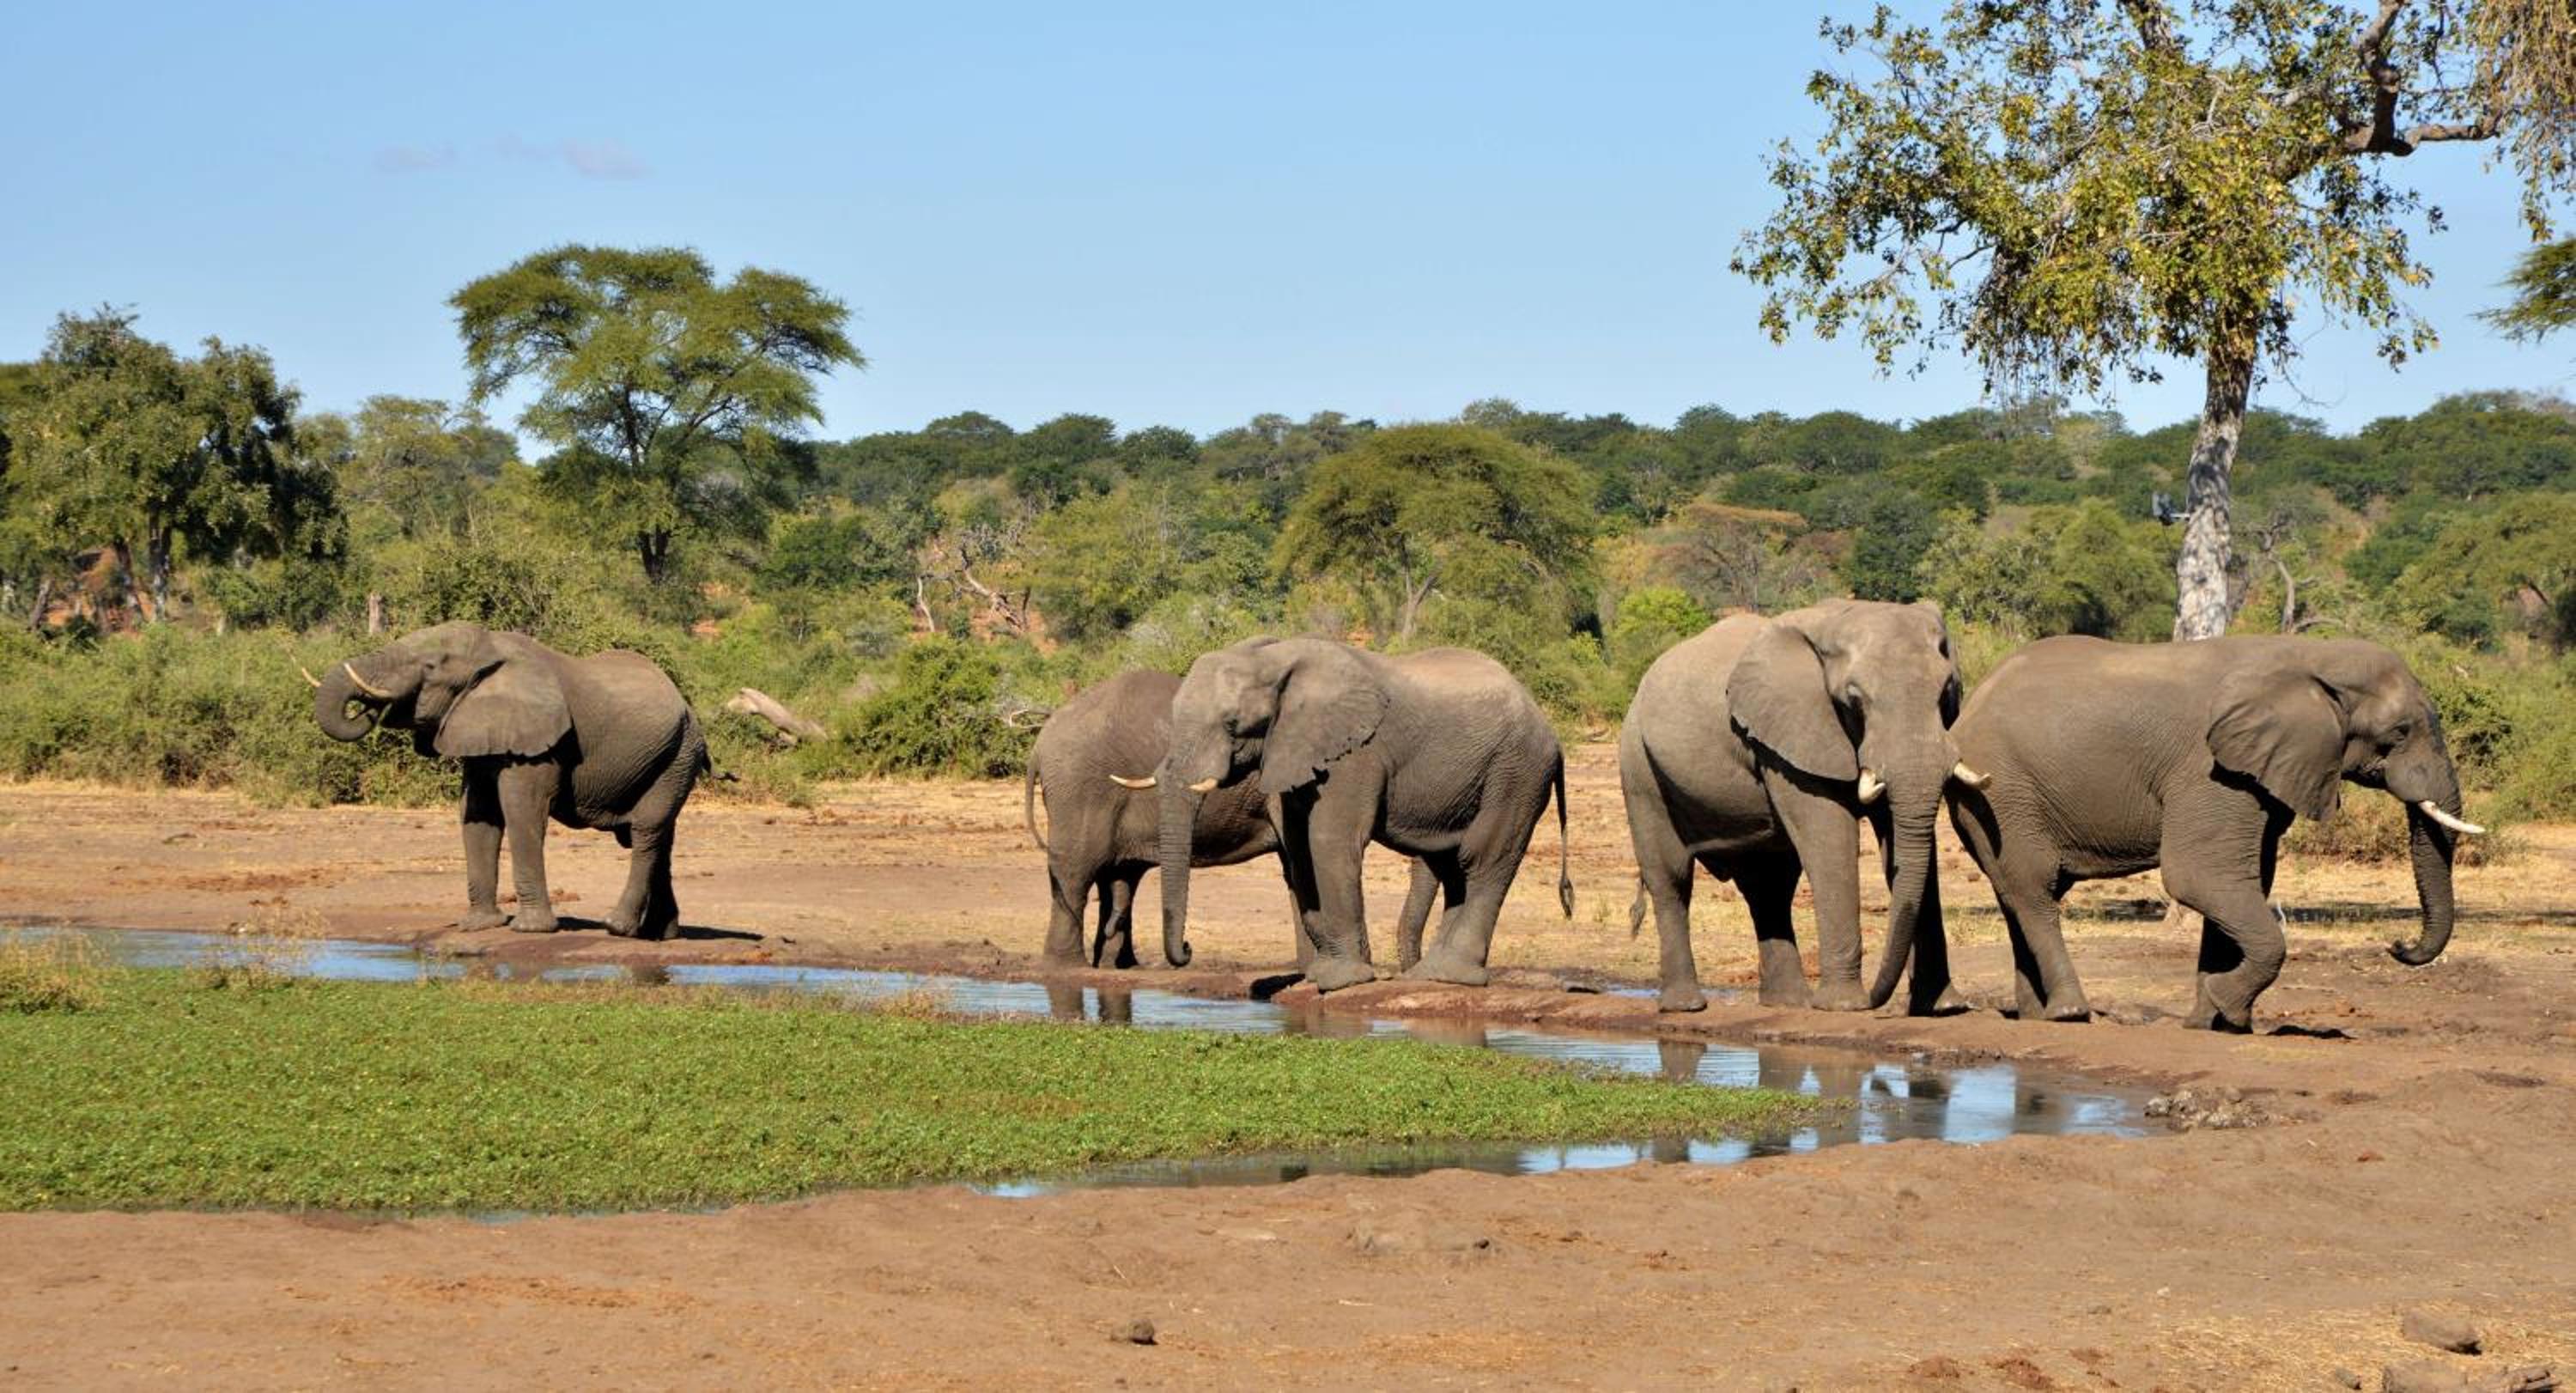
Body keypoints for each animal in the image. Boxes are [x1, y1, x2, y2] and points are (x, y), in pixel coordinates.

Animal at [309, 621, 708, 939]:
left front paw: (530, 929)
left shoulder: (538, 743)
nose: (367, 706)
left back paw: (618, 927)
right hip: (670, 758)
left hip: (677, 755)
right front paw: (478, 926)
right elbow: (478, 815)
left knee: (645, 832)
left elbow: (521, 810)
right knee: (660, 837)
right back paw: (659, 934)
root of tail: (686, 704)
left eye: (429, 666)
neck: (492, 650)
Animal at [1025, 667, 1443, 970]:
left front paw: (1312, 970)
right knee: (1076, 875)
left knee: (1119, 879)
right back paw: (1067, 970)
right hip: (1078, 788)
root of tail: (1041, 739)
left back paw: (1117, 966)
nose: (1189, 947)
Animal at [1154, 636, 1572, 992]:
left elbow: (1329, 840)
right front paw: (1323, 975)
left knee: (1484, 856)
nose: (1188, 949)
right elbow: (1299, 848)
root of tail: (1551, 729)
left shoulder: (1355, 752)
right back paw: (1428, 974)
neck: (1276, 657)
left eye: (1232, 724)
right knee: (1454, 866)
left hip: (1517, 769)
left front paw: (1340, 981)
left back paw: (1447, 974)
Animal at [1619, 600, 1976, 1015]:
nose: (1878, 999)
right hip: (1639, 768)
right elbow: (1830, 837)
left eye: (1945, 691)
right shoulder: (1790, 742)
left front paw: (1945, 1008)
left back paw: (1787, 1003)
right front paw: (1844, 1007)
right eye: (1854, 699)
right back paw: (1686, 1006)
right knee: (1672, 878)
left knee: (1769, 885)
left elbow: (1905, 843)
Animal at [1944, 635, 2483, 1031]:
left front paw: (2216, 1021)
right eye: (2399, 733)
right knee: (2033, 890)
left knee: (2018, 895)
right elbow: (2201, 878)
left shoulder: (2262, 772)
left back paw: (2035, 1016)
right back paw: (2071, 1013)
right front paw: (2227, 1005)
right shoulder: (2211, 771)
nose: (2396, 945)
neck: (2309, 655)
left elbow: (2246, 881)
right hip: (2003, 792)